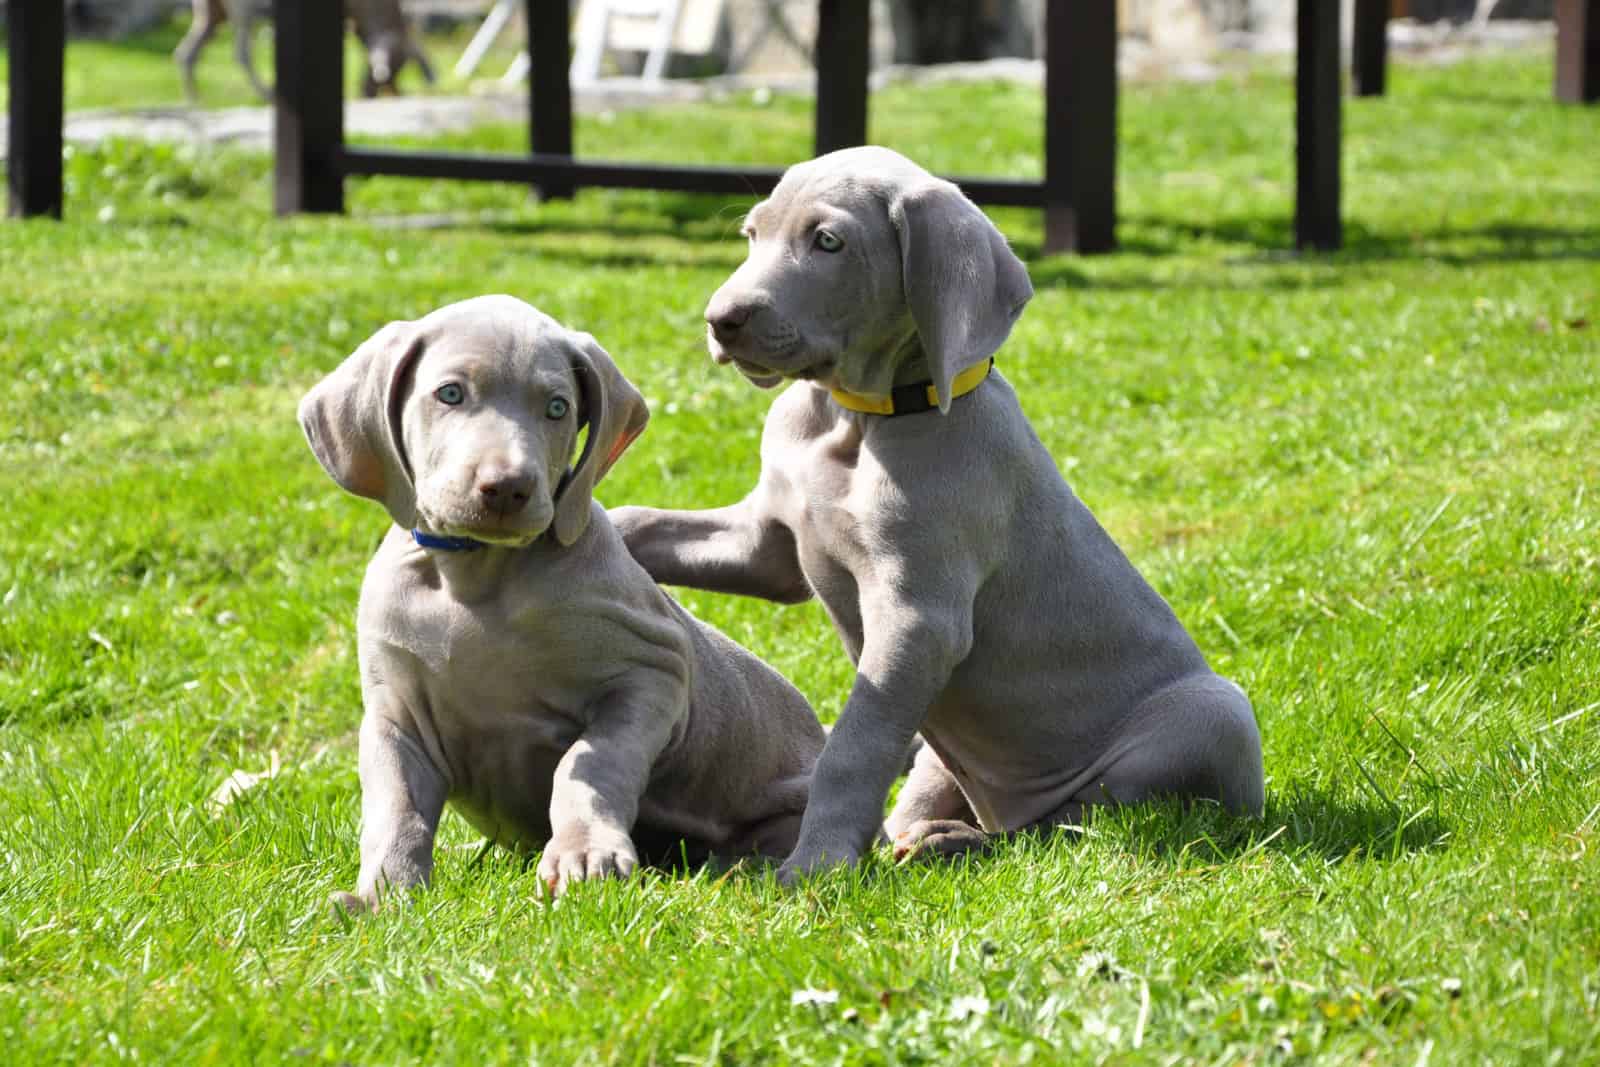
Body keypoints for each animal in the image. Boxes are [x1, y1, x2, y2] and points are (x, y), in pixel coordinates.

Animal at [300, 294, 825, 908]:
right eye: (450, 393)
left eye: (557, 408)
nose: (508, 488)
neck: (476, 576)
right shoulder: (395, 717)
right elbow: (395, 806)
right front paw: (384, 895)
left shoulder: (654, 673)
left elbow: (587, 765)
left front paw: (584, 854)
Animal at [617, 150, 1267, 883]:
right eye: (751, 235)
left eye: (828, 242)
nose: (721, 319)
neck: (857, 420)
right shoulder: (768, 545)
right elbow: (642, 520)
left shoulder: (918, 618)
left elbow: (854, 744)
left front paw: (816, 865)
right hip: (940, 754)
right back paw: (931, 836)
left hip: (1212, 715)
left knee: (1072, 826)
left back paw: (960, 842)